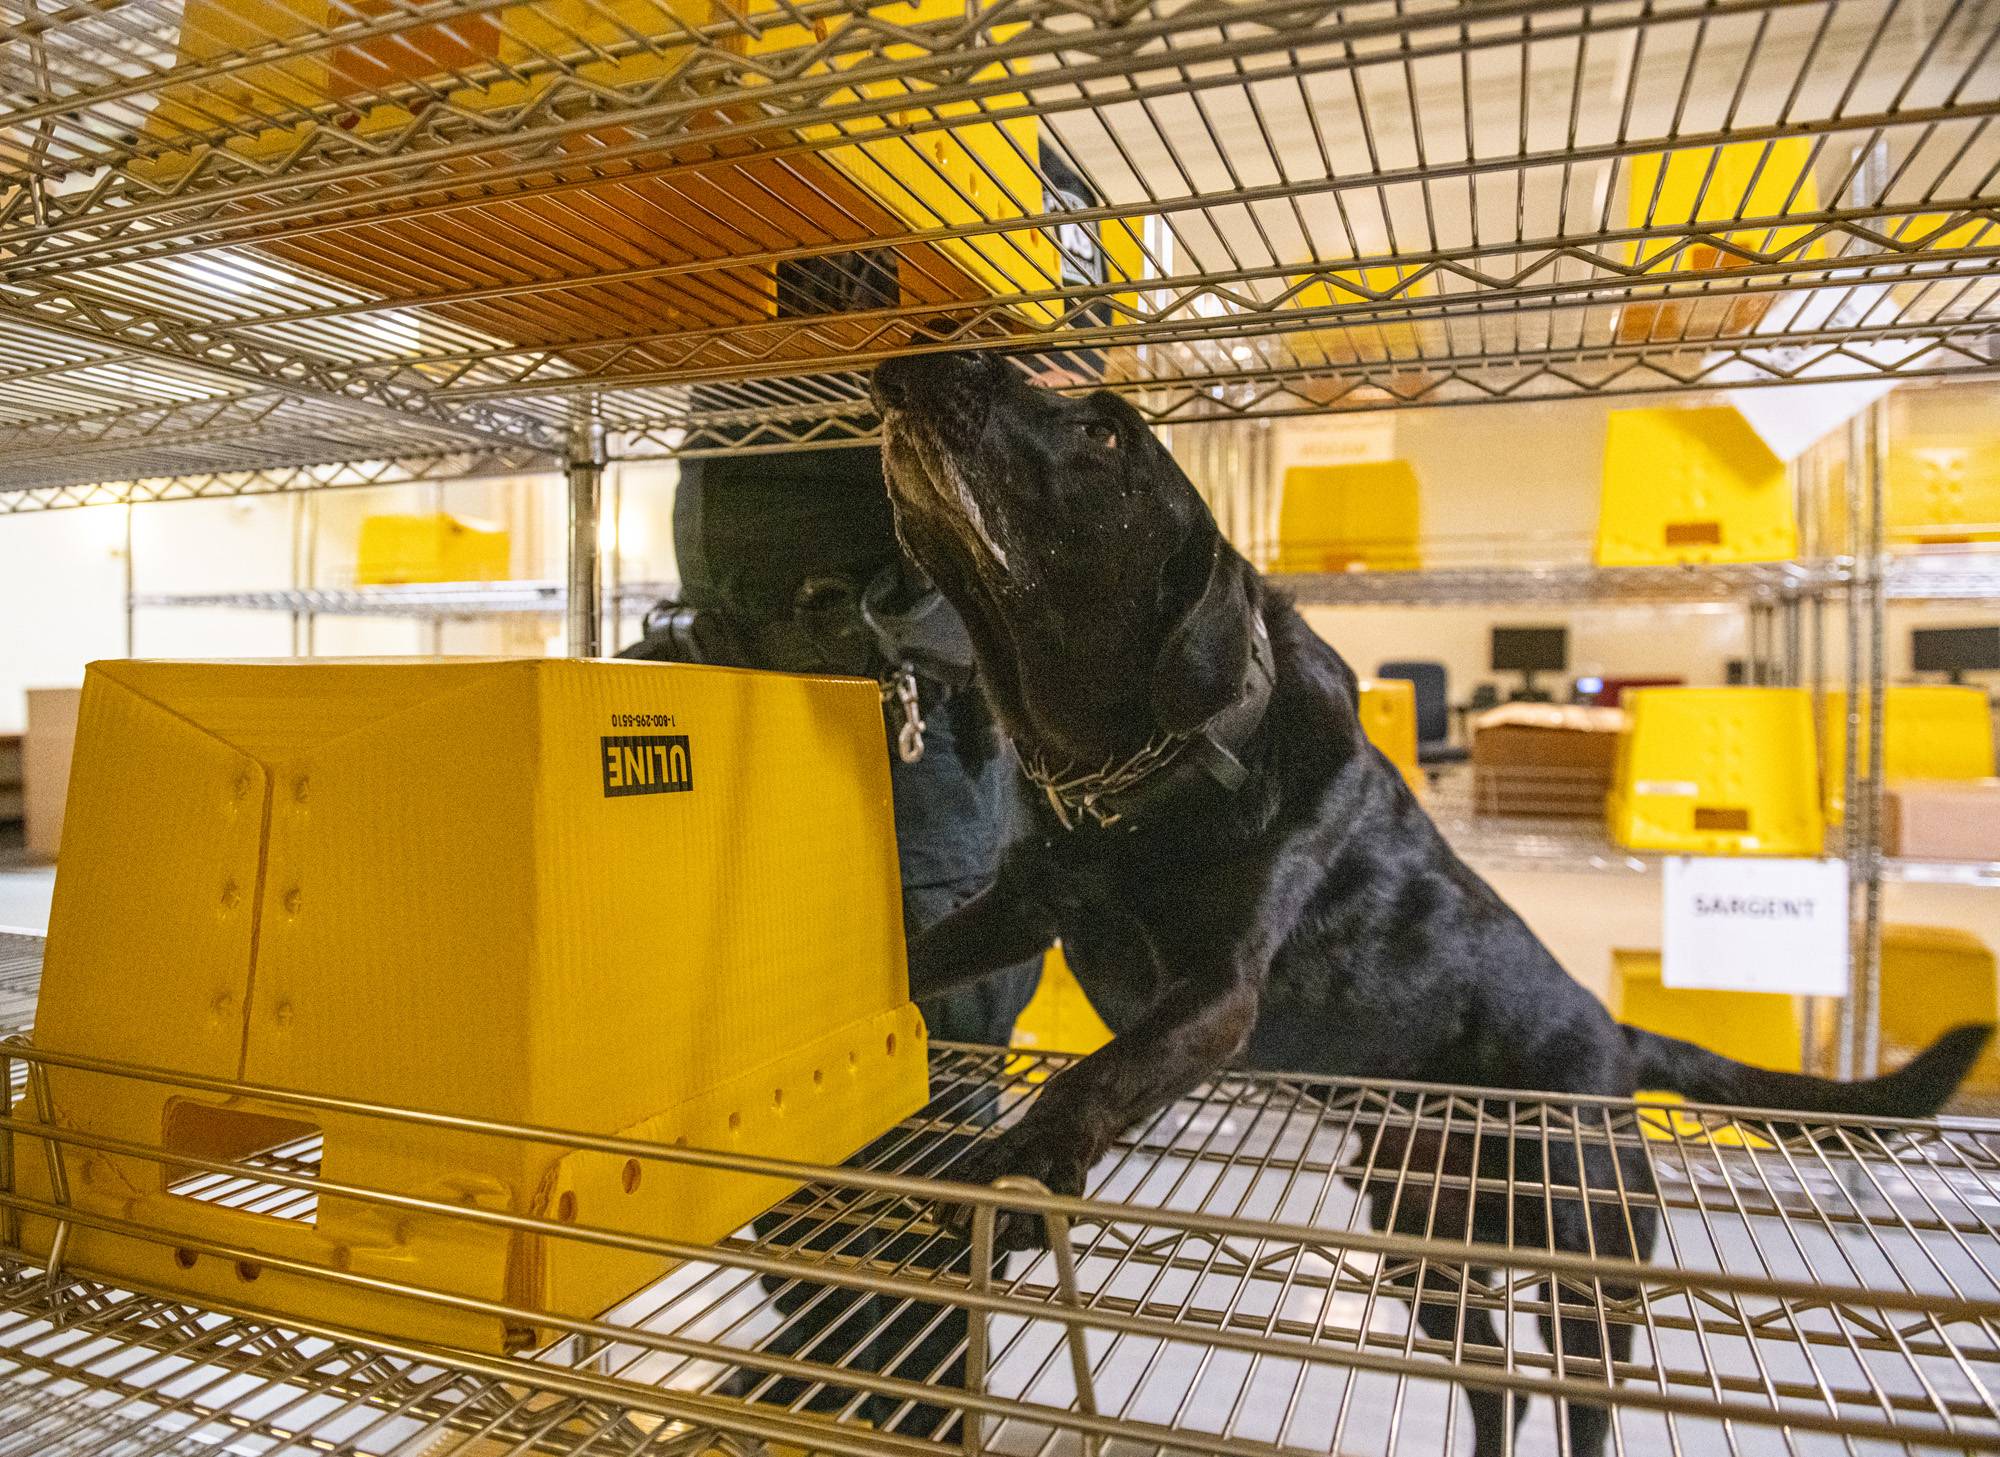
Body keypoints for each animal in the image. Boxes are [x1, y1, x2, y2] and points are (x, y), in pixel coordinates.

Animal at [872, 346, 1984, 1448]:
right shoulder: (1021, 902)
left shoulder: (1215, 990)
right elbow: (918, 953)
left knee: (1579, 1395)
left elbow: (1095, 1075)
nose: (927, 357)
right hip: (1418, 1244)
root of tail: (1617, 1037)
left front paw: (1012, 1167)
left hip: (1584, 1256)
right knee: (1496, 1379)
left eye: (1105, 434)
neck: (1125, 776)